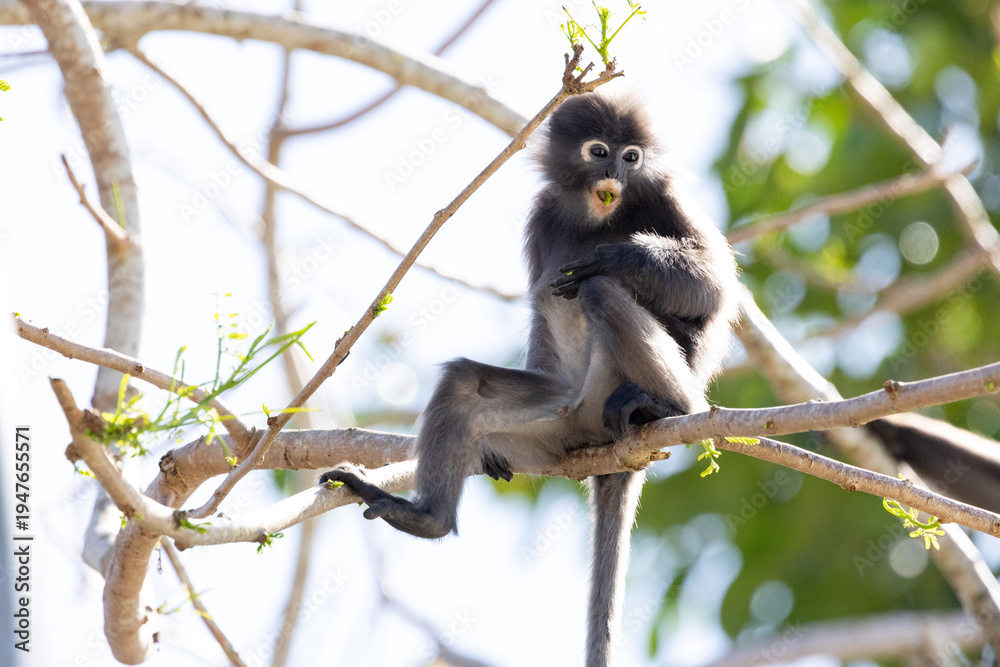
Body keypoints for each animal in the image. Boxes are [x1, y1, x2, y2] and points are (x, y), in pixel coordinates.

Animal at [320, 92, 740, 666]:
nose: (614, 173)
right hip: (558, 424)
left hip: (612, 393)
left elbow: (713, 288)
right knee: (463, 383)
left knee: (602, 291)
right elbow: (539, 301)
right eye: (599, 151)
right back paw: (426, 519)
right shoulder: (541, 215)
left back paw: (669, 406)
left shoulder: (665, 193)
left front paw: (618, 256)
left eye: (631, 157)